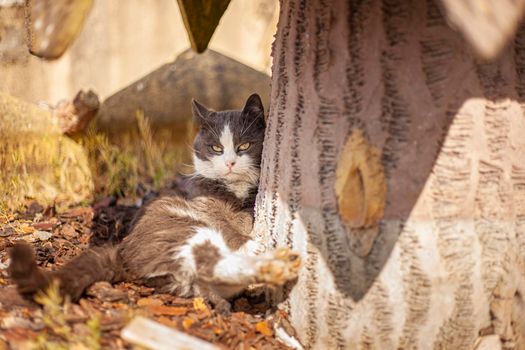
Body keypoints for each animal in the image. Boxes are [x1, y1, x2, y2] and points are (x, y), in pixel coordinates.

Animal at [9, 93, 298, 312]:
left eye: (244, 146)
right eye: (216, 148)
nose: (229, 163)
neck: (235, 190)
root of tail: (121, 252)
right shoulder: (204, 204)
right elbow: (225, 223)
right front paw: (250, 239)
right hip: (182, 228)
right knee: (209, 261)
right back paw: (272, 264)